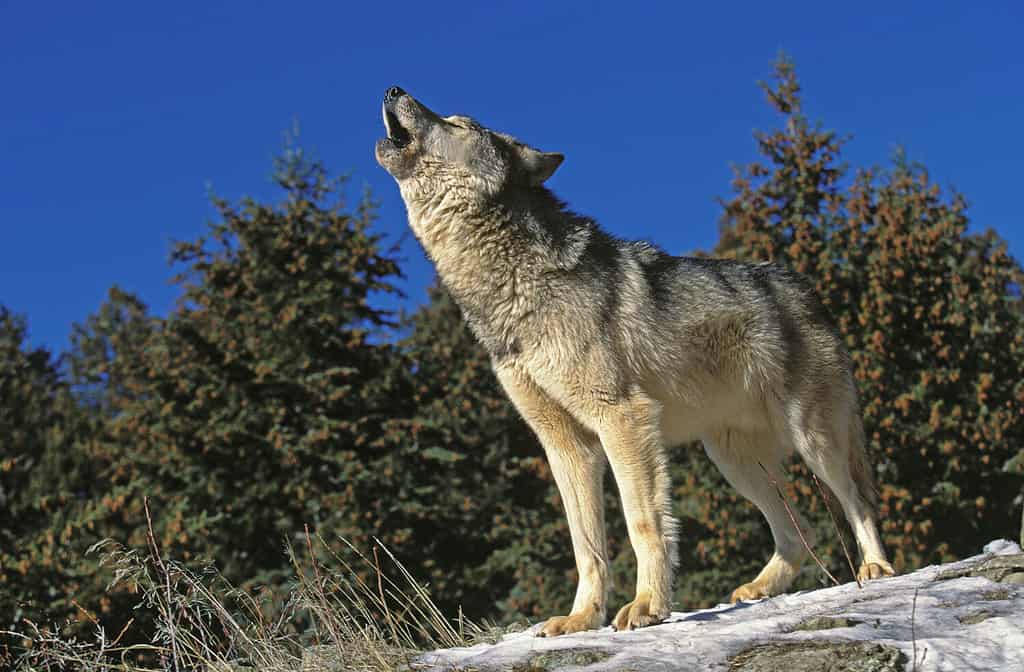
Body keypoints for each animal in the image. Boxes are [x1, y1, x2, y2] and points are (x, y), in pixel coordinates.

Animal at [375, 86, 895, 636]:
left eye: (460, 124)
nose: (393, 89)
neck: (509, 287)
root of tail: (808, 291)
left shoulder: (622, 418)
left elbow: (643, 523)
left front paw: (648, 606)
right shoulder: (566, 445)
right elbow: (586, 545)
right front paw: (582, 618)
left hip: (812, 439)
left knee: (858, 500)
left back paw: (875, 568)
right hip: (732, 460)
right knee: (802, 529)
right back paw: (759, 589)